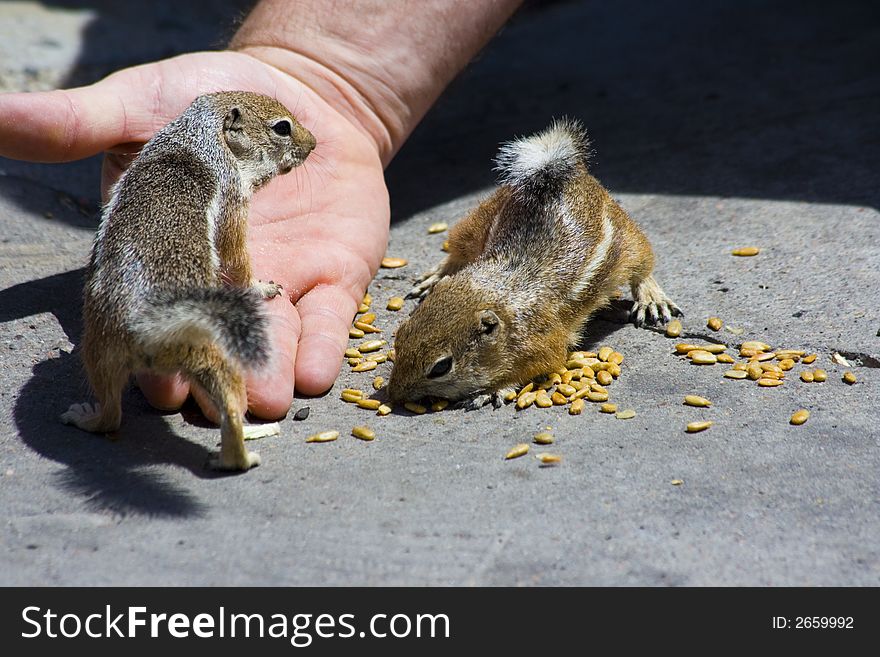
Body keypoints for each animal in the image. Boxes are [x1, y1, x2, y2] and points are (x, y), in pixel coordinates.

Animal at [61, 93, 316, 472]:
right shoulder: (233, 199)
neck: (197, 137)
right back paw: (244, 446)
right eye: (282, 127)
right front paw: (262, 287)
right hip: (215, 352)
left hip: (100, 351)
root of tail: (151, 330)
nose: (313, 144)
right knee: (226, 411)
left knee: (112, 413)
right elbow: (236, 258)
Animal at [388, 118, 684, 404]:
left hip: (629, 241)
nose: (393, 394)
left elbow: (541, 365)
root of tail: (568, 172)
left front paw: (493, 390)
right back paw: (435, 276)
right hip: (477, 221)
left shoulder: (544, 342)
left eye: (441, 367)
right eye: (400, 334)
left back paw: (652, 299)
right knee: (456, 253)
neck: (496, 293)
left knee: (643, 269)